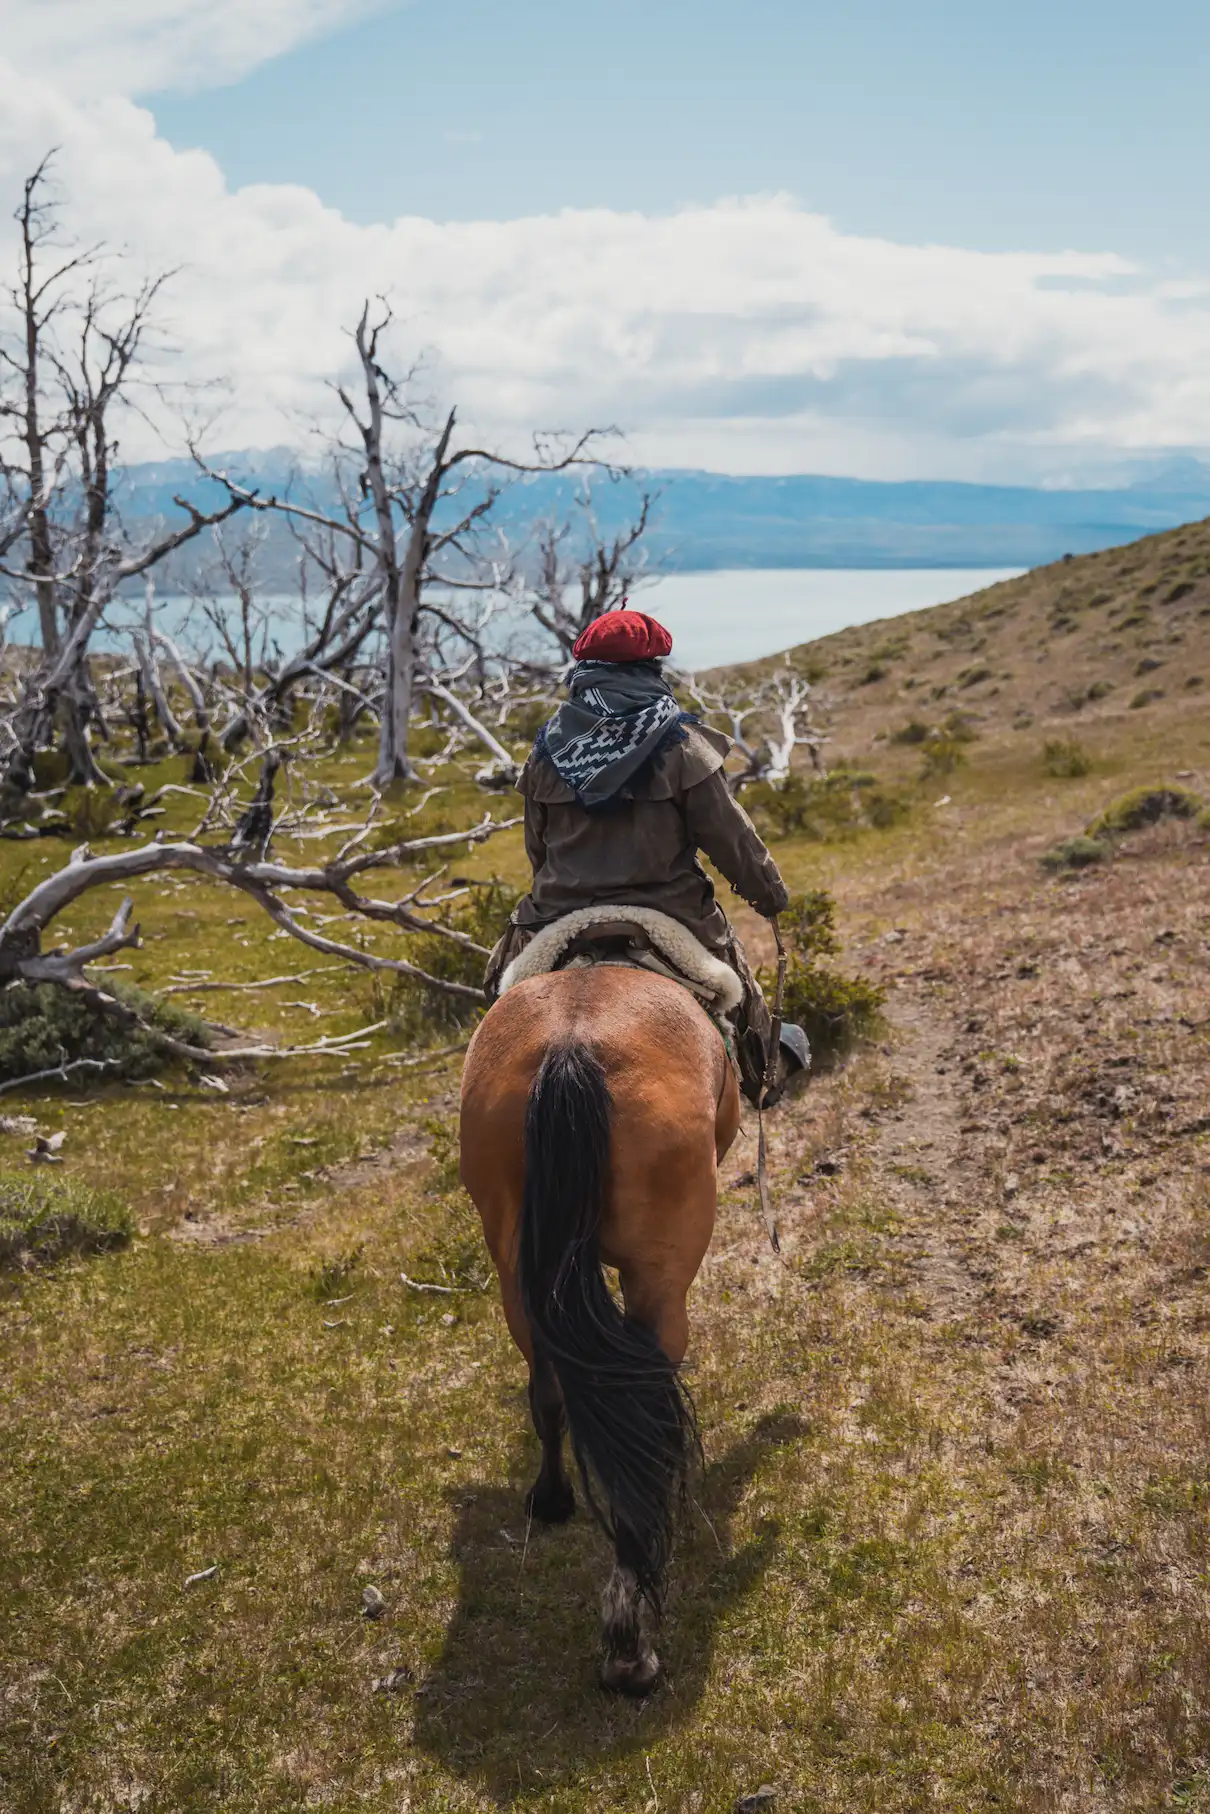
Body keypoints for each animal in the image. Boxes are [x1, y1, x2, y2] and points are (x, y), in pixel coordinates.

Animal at [459, 961, 741, 1693]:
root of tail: (571, 1051)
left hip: (519, 1275)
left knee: (549, 1389)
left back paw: (552, 1500)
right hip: (659, 1280)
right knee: (645, 1404)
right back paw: (629, 1640)